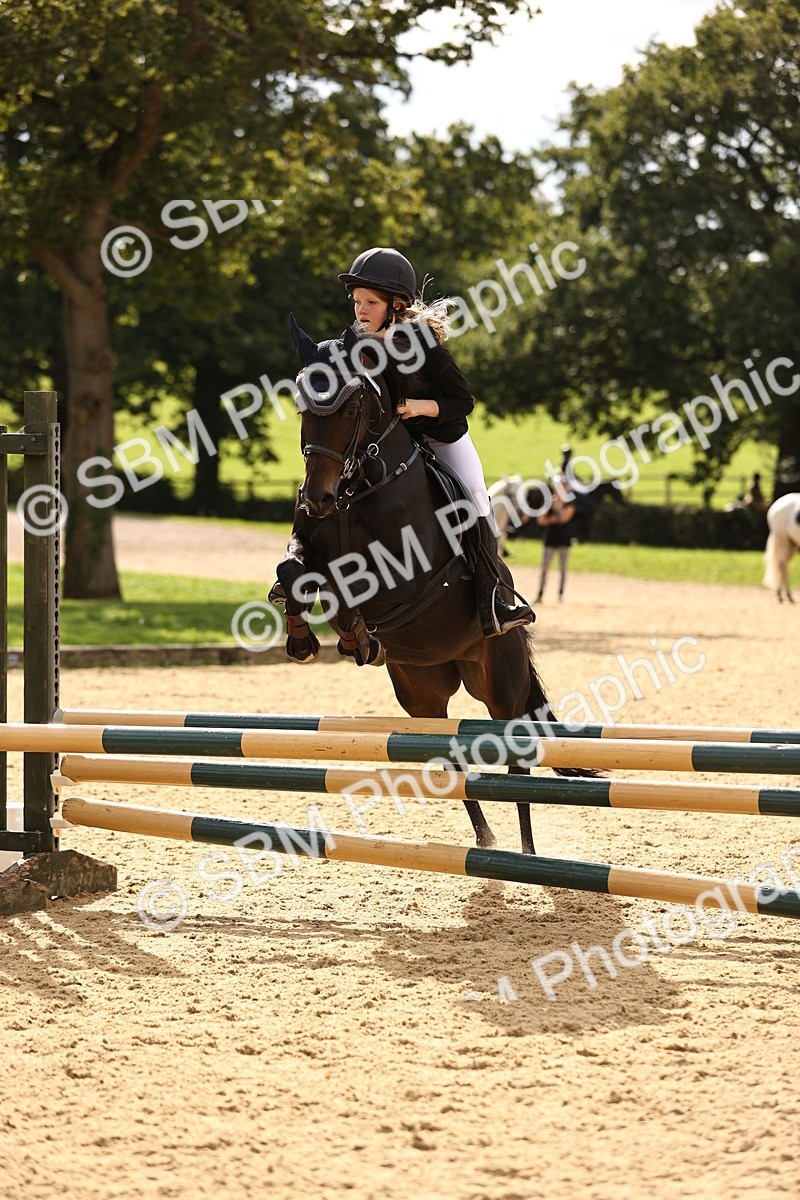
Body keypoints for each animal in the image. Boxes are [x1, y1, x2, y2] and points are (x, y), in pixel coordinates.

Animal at [273, 318, 595, 855]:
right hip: (421, 693)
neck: (362, 484)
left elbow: (347, 585)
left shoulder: (404, 574)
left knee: (518, 765)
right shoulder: (309, 542)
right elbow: (292, 571)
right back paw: (486, 840)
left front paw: (352, 632)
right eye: (302, 404)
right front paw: (304, 640)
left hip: (500, 682)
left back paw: (527, 854)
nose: (316, 497)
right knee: (449, 759)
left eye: (353, 406)